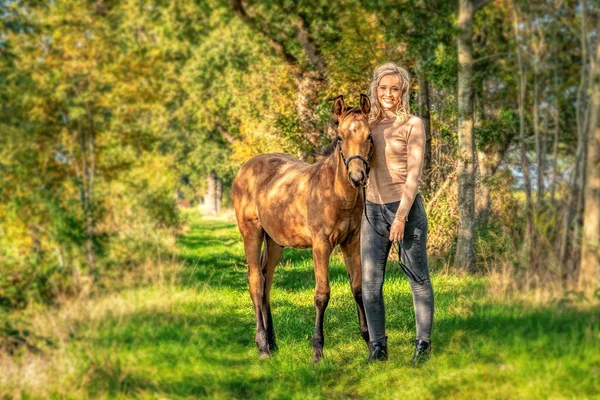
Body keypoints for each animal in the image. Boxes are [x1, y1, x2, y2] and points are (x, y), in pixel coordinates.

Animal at [232, 94, 372, 362]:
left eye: (369, 135)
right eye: (340, 138)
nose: (357, 176)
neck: (337, 193)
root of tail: (245, 167)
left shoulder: (351, 242)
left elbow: (358, 288)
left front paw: (371, 343)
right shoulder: (321, 244)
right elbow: (321, 294)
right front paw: (317, 350)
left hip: (275, 241)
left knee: (266, 281)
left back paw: (273, 342)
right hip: (251, 232)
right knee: (255, 280)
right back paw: (262, 346)